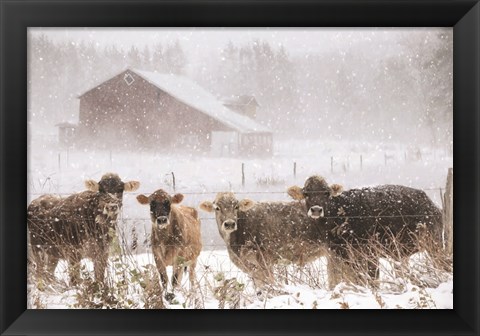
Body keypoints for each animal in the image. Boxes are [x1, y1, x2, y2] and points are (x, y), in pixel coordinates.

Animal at [199, 193, 330, 292]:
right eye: (217, 208)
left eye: (236, 207)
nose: (230, 223)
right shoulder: (249, 265)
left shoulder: (264, 259)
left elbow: (267, 283)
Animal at [286, 176, 444, 288]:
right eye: (306, 193)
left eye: (326, 193)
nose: (316, 210)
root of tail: (431, 204)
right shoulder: (342, 255)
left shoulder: (370, 253)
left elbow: (372, 280)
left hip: (435, 245)